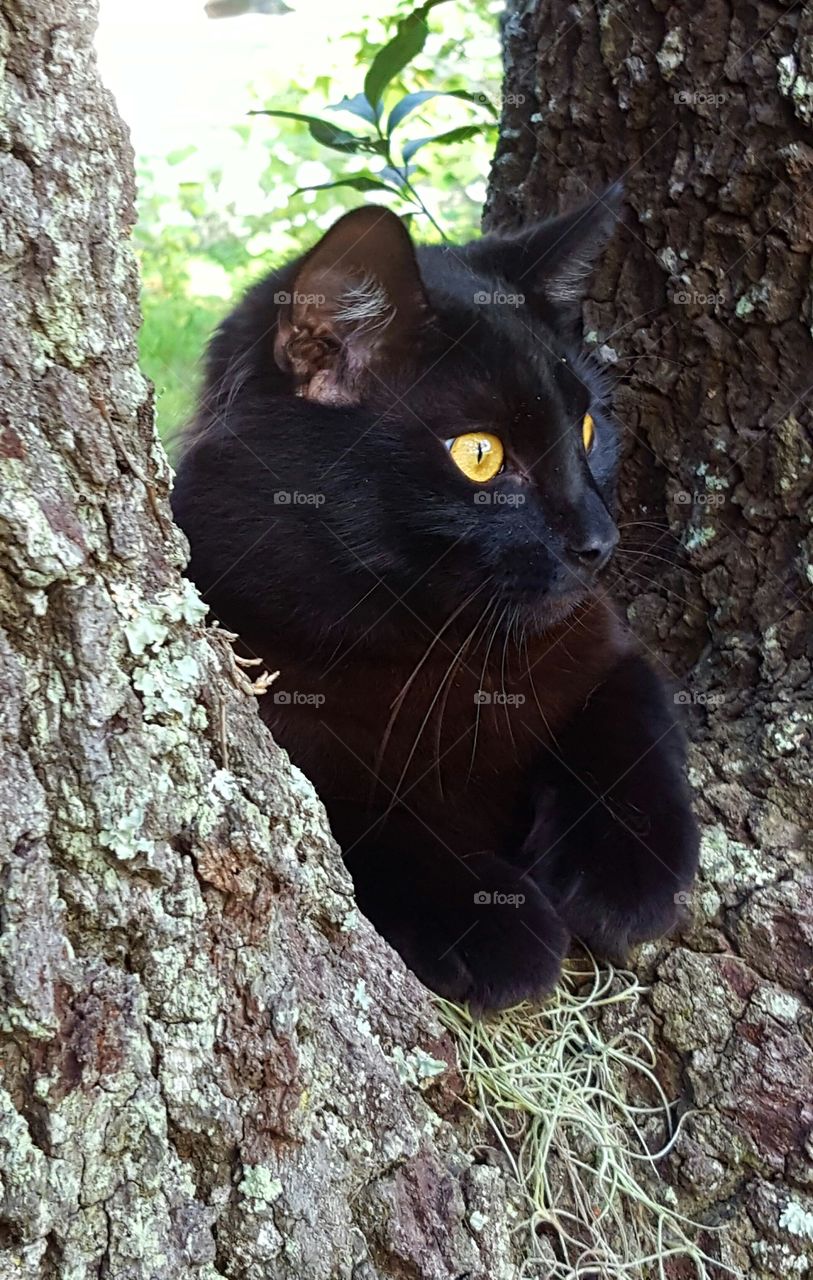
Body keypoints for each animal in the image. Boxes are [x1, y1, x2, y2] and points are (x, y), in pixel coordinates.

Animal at [171, 197, 701, 1008]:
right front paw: (492, 923)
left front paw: (624, 878)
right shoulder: (293, 744)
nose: (599, 540)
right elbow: (366, 820)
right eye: (478, 455)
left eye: (587, 429)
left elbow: (630, 728)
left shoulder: (604, 649)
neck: (444, 652)